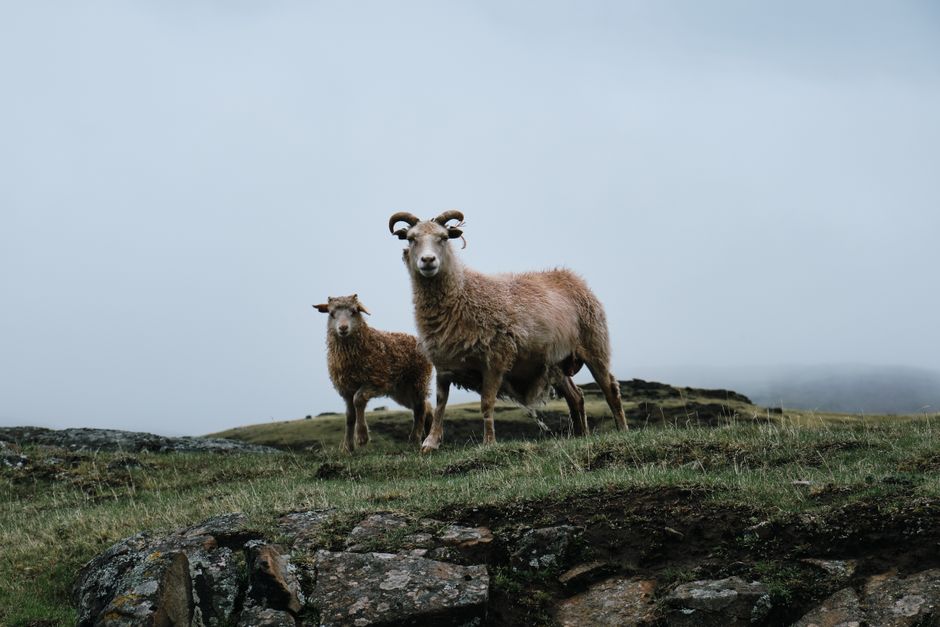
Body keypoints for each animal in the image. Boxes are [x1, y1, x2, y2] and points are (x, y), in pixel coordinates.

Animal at [313, 294, 433, 452]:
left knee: (420, 408)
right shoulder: (346, 390)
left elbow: (358, 400)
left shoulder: (376, 380)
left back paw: (414, 439)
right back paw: (426, 436)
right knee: (426, 406)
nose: (343, 328)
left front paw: (362, 437)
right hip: (401, 390)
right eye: (331, 313)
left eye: (354, 311)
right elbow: (349, 416)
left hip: (418, 380)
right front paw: (347, 448)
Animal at [388, 211, 628, 452]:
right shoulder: (444, 364)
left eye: (444, 237)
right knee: (576, 397)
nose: (428, 260)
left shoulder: (495, 360)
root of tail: (572, 277)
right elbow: (440, 404)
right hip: (558, 363)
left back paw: (622, 430)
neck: (462, 294)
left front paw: (488, 442)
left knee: (610, 389)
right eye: (411, 238)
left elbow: (486, 403)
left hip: (595, 345)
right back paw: (581, 435)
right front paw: (431, 442)